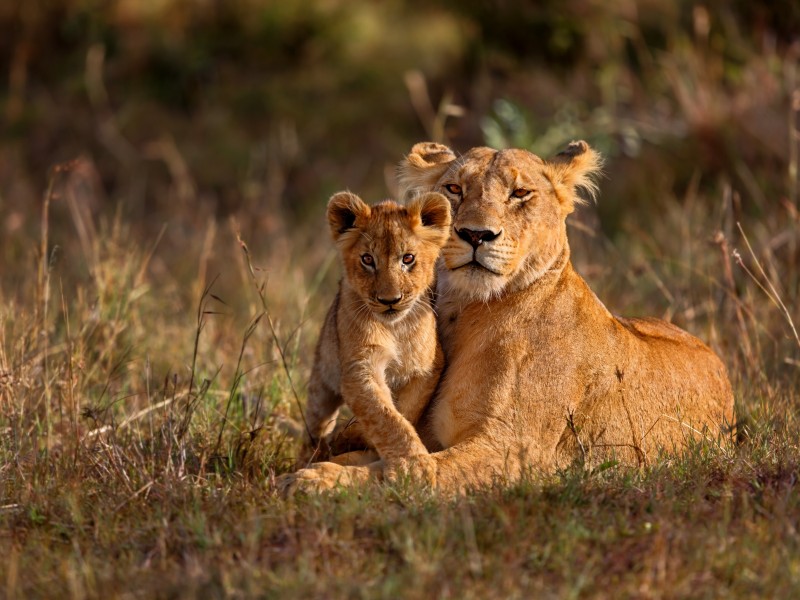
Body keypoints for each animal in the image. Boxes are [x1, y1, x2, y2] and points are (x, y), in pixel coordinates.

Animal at [298, 190, 451, 467]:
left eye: (408, 258)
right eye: (368, 259)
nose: (390, 300)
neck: (395, 328)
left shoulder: (428, 367)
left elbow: (405, 410)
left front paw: (355, 436)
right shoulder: (360, 368)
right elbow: (385, 417)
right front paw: (414, 464)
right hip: (321, 382)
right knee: (316, 424)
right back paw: (311, 454)